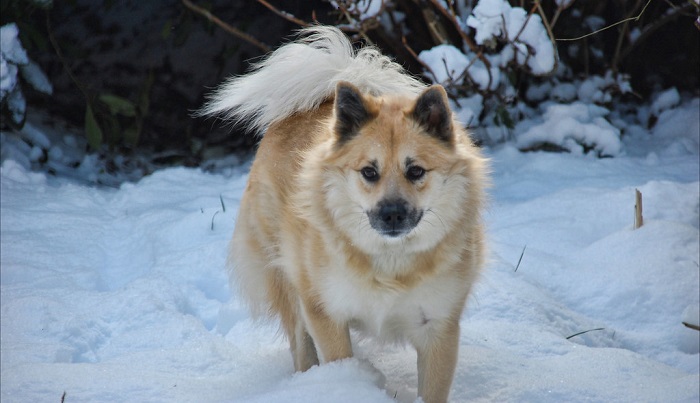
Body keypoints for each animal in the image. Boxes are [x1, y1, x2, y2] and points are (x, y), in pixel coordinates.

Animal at [202, 26, 486, 402]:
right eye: (369, 172)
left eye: (415, 171)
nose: (392, 214)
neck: (390, 263)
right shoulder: (326, 313)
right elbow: (335, 357)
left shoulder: (439, 326)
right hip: (288, 281)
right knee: (301, 345)